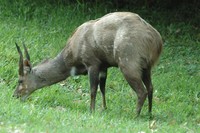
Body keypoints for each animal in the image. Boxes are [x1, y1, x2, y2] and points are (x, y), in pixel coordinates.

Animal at [13, 11, 162, 115]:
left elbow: (93, 90)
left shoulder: (92, 63)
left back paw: (135, 115)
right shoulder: (104, 67)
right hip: (146, 68)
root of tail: (156, 39)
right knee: (150, 88)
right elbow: (102, 88)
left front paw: (91, 111)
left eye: (20, 80)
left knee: (141, 91)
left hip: (128, 65)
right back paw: (149, 113)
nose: (15, 95)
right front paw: (104, 109)